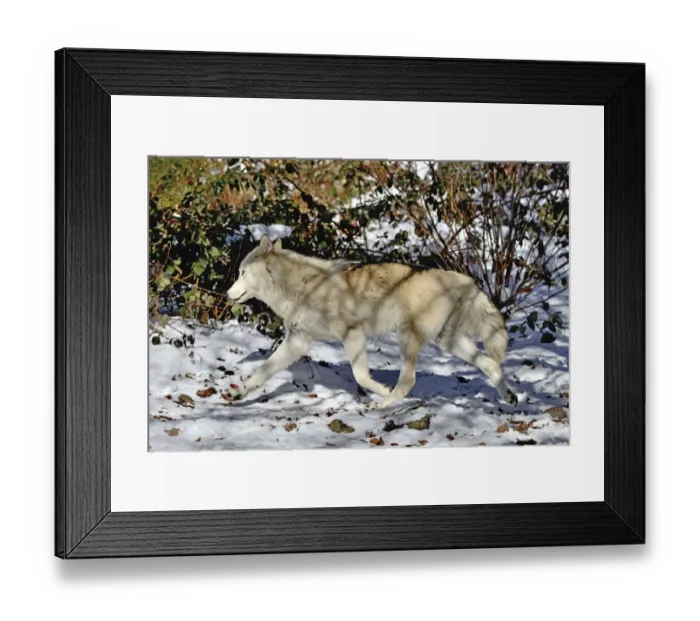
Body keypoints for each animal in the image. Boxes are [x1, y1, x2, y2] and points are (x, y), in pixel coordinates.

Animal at [224, 235, 518, 409]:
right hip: (448, 342)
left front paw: (380, 389)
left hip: (409, 339)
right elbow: (261, 372)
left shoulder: (352, 334)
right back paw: (510, 398)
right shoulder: (298, 342)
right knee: (491, 364)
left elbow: (360, 375)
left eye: (242, 273)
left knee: (408, 380)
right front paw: (237, 394)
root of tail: (464, 279)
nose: (227, 294)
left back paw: (385, 402)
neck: (303, 288)